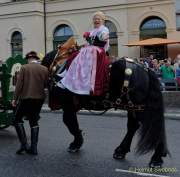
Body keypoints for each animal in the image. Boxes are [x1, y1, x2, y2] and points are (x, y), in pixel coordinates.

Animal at [41, 52, 169, 167]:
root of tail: (146, 70)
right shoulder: (71, 106)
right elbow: (71, 123)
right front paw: (77, 142)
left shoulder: (68, 105)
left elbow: (70, 123)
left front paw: (76, 143)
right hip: (132, 107)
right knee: (133, 127)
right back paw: (121, 150)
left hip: (138, 108)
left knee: (152, 126)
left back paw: (156, 158)